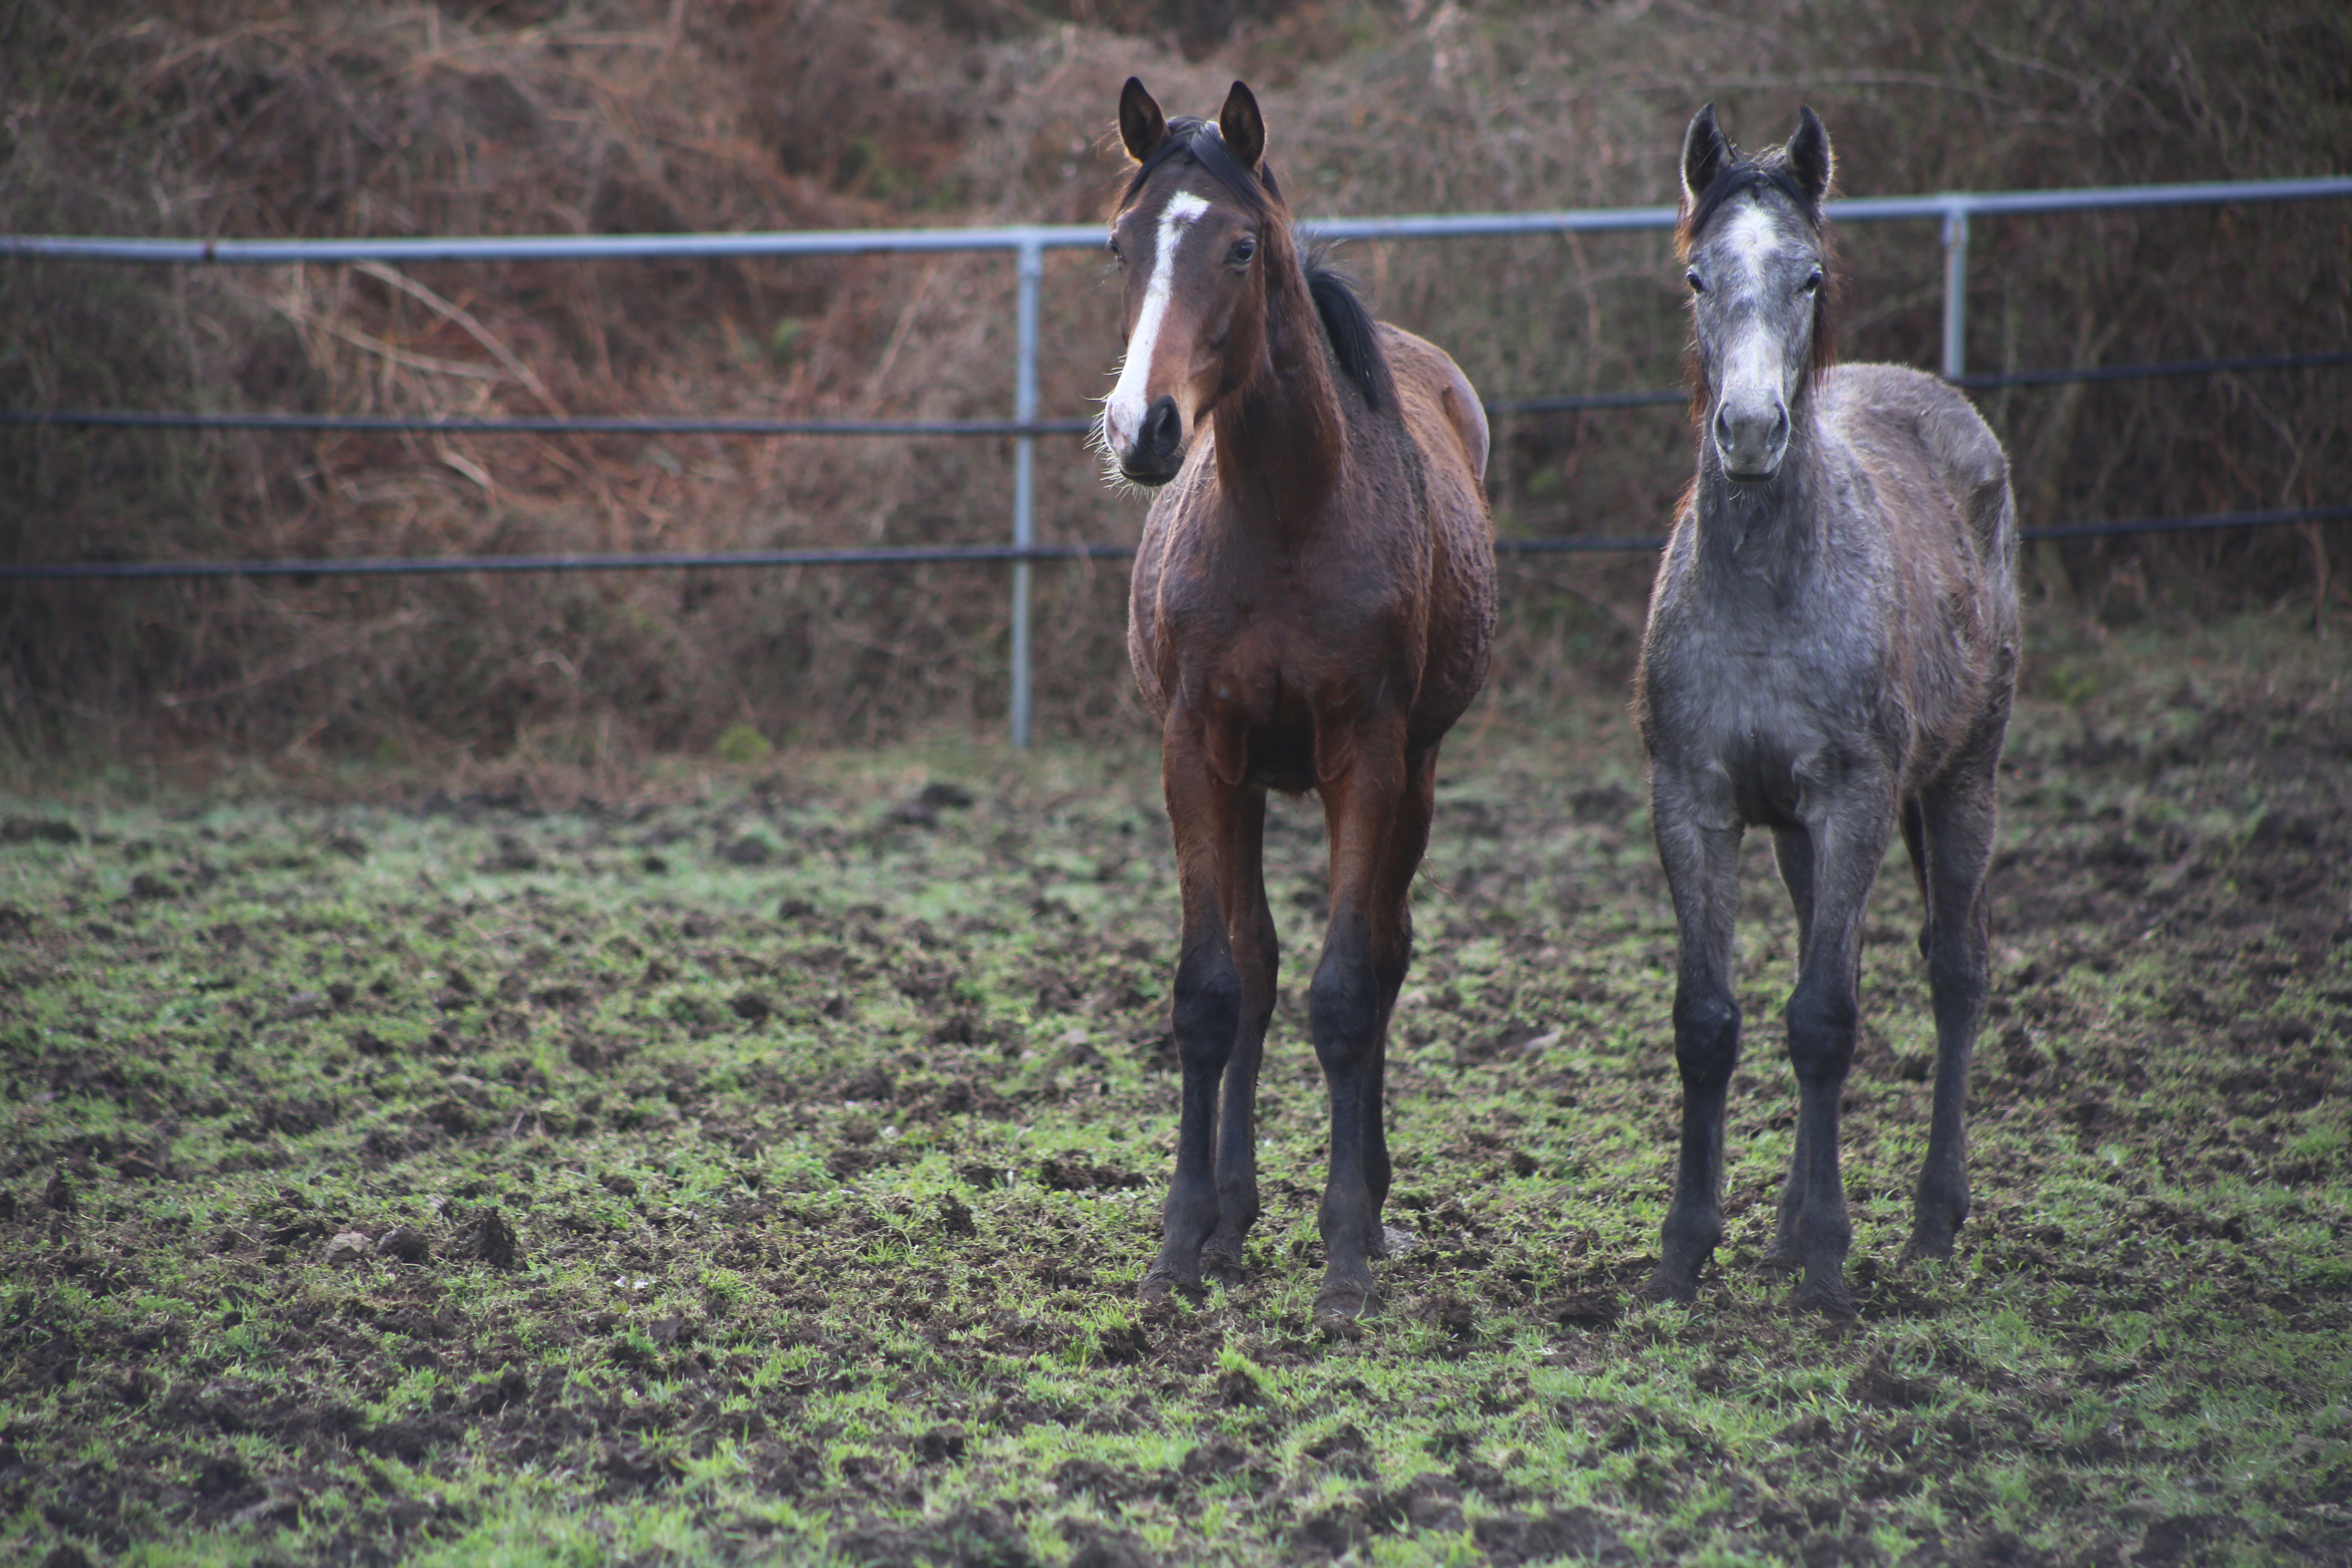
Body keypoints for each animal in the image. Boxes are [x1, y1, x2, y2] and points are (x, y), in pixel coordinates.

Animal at [1096, 80, 1486, 1335]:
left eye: (1239, 246)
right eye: (1119, 247)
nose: (1143, 430)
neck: (1281, 518)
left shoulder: (1367, 758)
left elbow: (1346, 991)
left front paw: (1346, 1255)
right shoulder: (1196, 754)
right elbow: (1214, 990)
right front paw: (1181, 1242)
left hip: (1414, 776)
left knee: (1383, 955)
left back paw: (1369, 1200)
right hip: (1252, 781)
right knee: (1258, 963)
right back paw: (1234, 1215)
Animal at [1637, 104, 2022, 1316]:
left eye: (1807, 275)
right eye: (1697, 277)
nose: (1751, 431)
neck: (1768, 587)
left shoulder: (1854, 798)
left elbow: (1823, 1020)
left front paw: (1826, 1263)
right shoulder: (1697, 801)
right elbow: (1710, 1022)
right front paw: (1687, 1249)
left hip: (1960, 780)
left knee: (1954, 974)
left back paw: (1928, 1221)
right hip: (1802, 834)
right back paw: (1786, 1226)